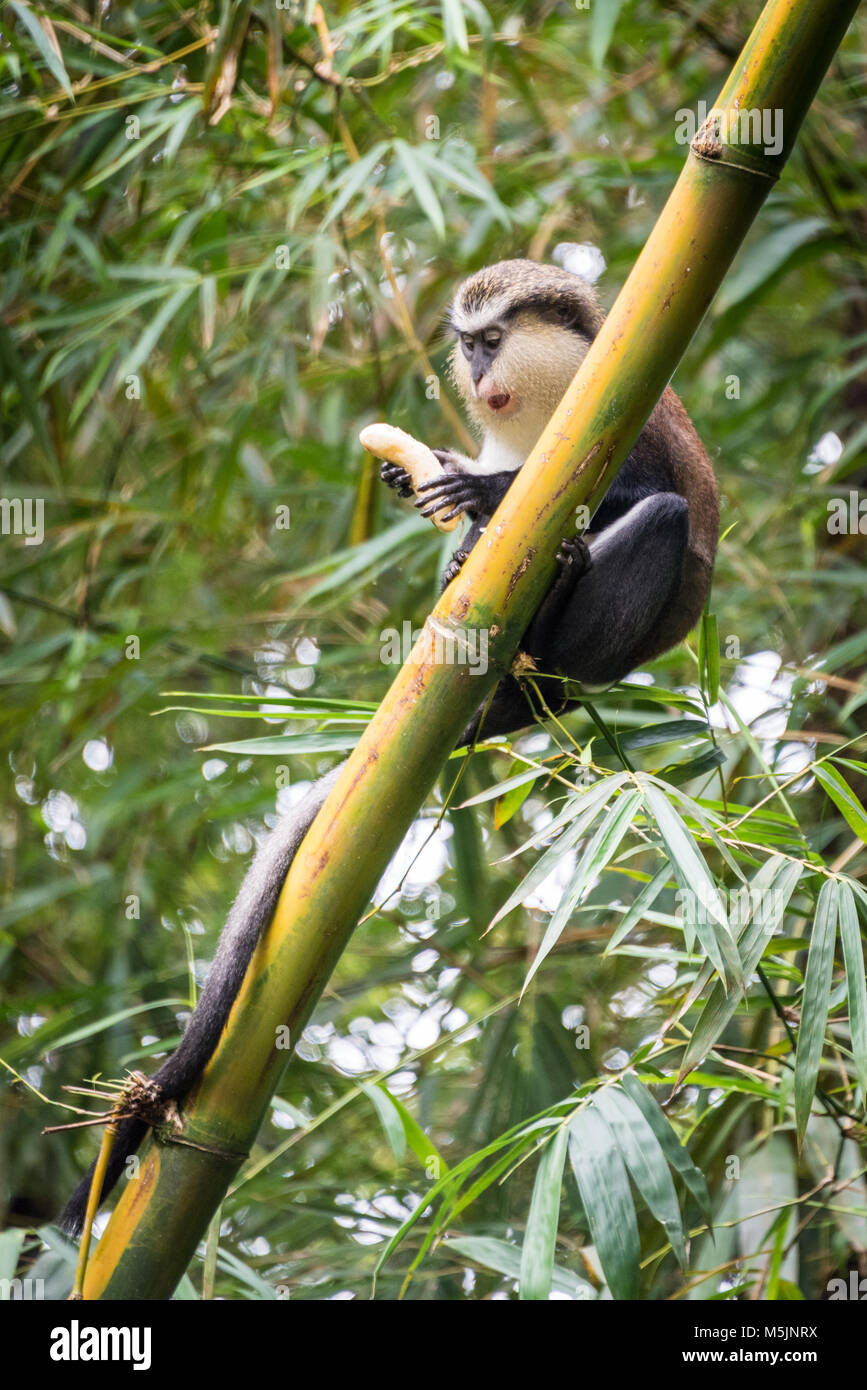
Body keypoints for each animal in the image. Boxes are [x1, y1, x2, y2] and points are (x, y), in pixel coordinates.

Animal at [55, 261, 716, 1239]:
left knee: (658, 521)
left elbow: (644, 495)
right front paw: (439, 488)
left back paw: (546, 605)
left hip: (589, 655)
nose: (476, 371)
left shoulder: (625, 408)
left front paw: (487, 497)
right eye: (468, 342)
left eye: (493, 339)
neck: (549, 397)